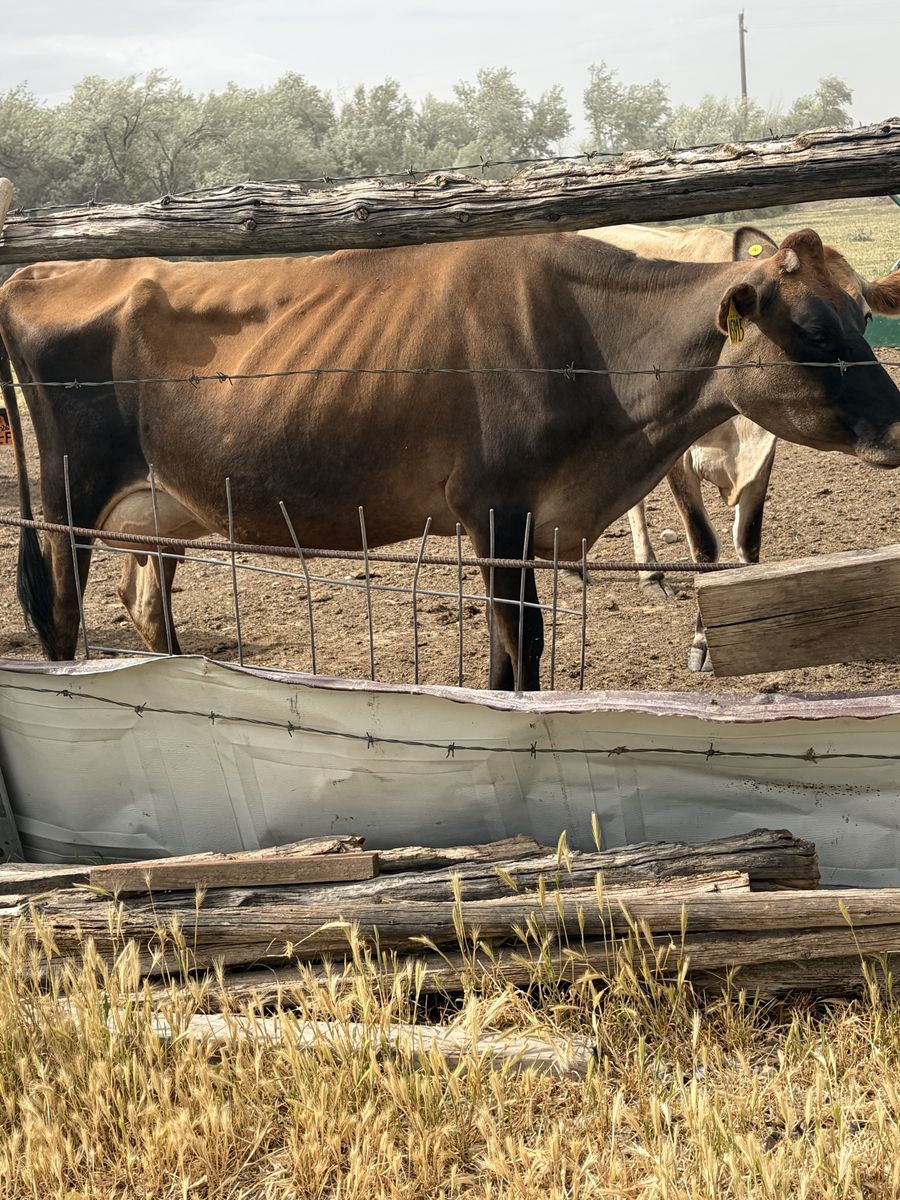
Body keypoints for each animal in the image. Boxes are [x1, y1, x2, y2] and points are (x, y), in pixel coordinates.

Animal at [2, 228, 900, 692]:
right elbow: (521, 649)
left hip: (158, 511)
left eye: (864, 314)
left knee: (145, 604)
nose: (897, 423)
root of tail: (44, 270)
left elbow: (509, 651)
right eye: (811, 328)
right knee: (63, 617)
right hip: (67, 500)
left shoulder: (521, 522)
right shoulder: (495, 510)